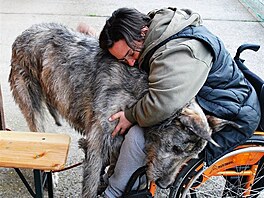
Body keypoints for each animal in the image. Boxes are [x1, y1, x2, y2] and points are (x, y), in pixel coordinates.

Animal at [9, 22, 222, 196]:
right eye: (175, 148)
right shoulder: (99, 139)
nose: (164, 184)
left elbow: (113, 168)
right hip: (29, 96)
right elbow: (92, 181)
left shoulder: (117, 138)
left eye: (190, 157)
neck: (142, 95)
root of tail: (24, 33)